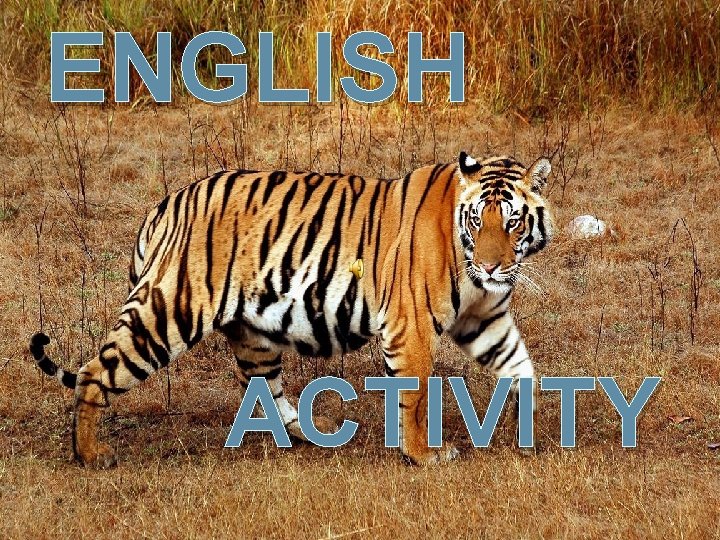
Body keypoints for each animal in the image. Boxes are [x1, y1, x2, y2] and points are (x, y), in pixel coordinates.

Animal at [29, 151, 553, 467]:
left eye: (512, 222)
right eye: (477, 220)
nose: (491, 266)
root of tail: (165, 204)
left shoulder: (484, 318)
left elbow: (522, 368)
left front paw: (527, 430)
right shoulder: (412, 327)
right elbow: (418, 394)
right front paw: (424, 455)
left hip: (252, 330)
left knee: (263, 386)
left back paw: (317, 432)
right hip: (168, 312)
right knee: (95, 372)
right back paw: (90, 454)